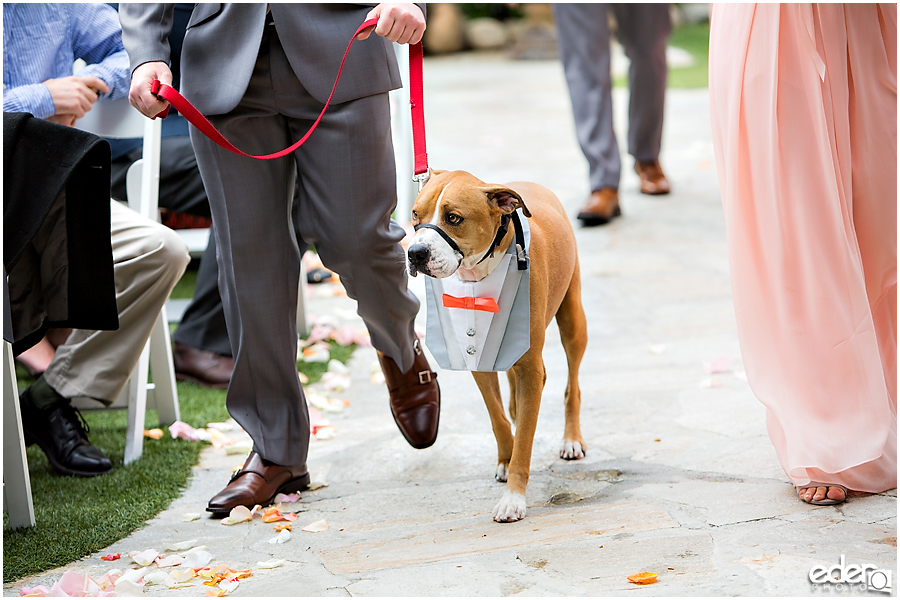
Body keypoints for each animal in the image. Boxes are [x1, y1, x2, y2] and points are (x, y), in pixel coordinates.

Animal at [408, 169, 592, 520]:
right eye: (414, 215)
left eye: (453, 218)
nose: (415, 253)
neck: (480, 274)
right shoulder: (479, 359)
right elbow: (497, 417)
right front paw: (506, 458)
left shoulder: (532, 369)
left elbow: (525, 441)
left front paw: (513, 498)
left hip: (573, 321)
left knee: (573, 385)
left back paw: (572, 439)